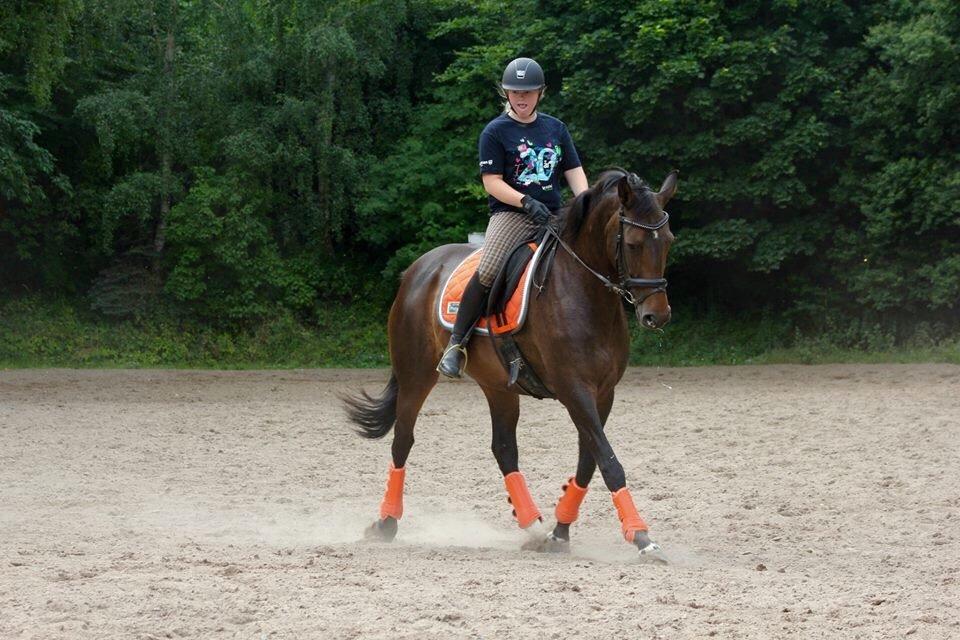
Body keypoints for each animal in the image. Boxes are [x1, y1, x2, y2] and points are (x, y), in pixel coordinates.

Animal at [344, 169, 676, 560]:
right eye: (635, 244)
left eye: (668, 241)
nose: (657, 315)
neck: (583, 293)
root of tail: (417, 270)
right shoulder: (574, 390)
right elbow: (608, 461)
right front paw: (641, 536)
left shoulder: (603, 393)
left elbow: (589, 460)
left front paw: (559, 532)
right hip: (416, 375)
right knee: (402, 441)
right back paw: (386, 523)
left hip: (498, 385)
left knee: (503, 448)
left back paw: (532, 525)